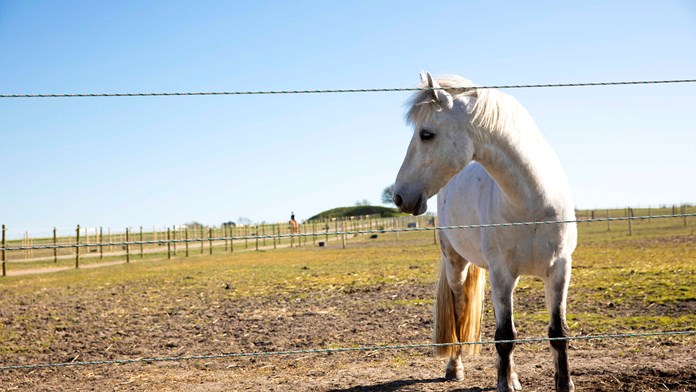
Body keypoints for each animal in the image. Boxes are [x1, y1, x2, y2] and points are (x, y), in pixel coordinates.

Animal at [394, 73, 580, 392]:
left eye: (426, 134)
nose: (398, 196)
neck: (531, 202)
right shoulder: (501, 272)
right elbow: (504, 336)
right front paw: (503, 384)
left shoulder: (559, 269)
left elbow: (557, 332)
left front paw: (562, 384)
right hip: (457, 264)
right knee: (459, 312)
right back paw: (455, 367)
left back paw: (513, 376)